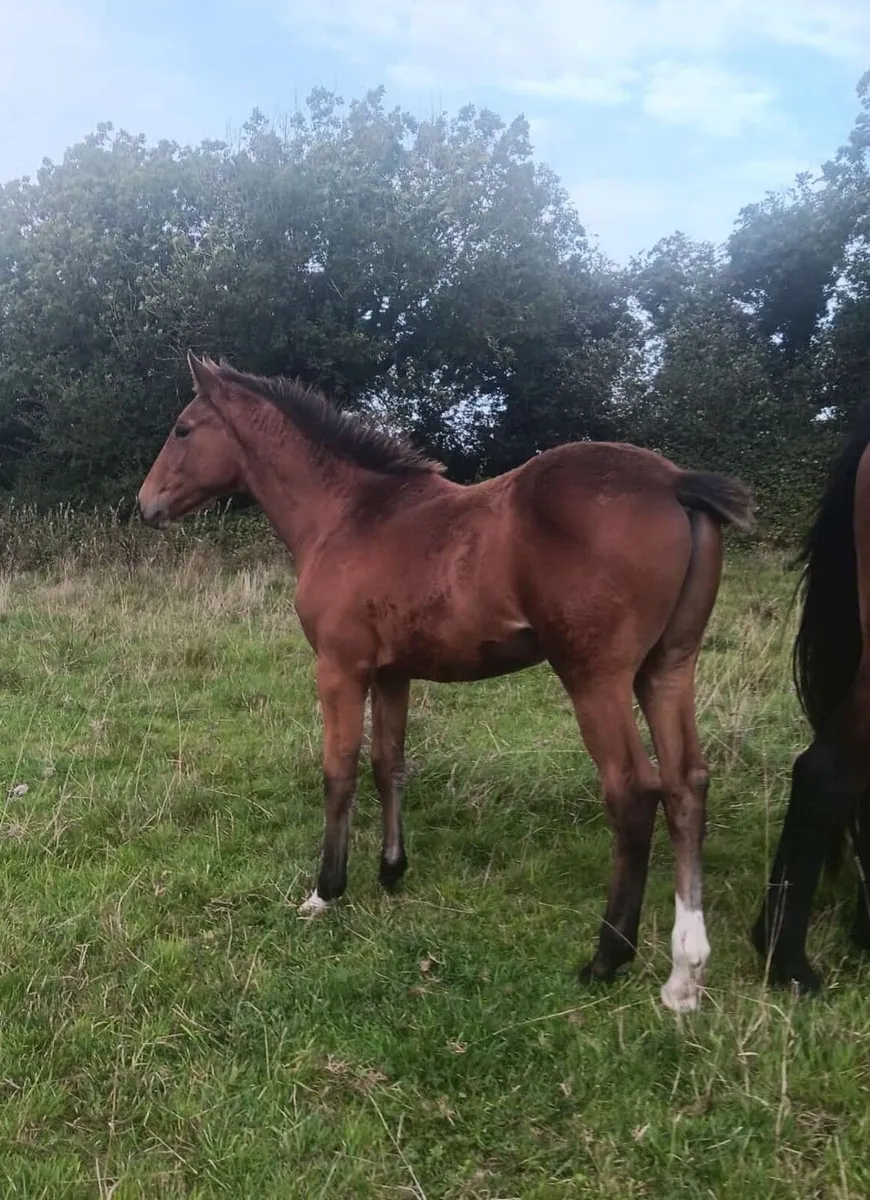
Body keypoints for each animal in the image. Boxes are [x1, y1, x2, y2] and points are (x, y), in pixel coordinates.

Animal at [137, 351, 755, 1013]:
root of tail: (673, 482)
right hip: (667, 668)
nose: (146, 505)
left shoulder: (339, 667)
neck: (346, 516)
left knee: (634, 793)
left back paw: (608, 956)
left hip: (596, 677)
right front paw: (391, 870)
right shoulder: (392, 672)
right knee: (687, 784)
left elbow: (339, 772)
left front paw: (327, 890)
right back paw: (684, 974)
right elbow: (389, 763)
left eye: (182, 429)